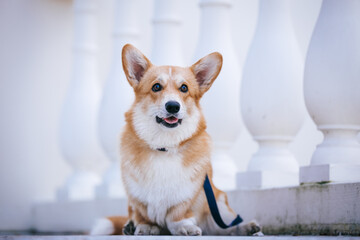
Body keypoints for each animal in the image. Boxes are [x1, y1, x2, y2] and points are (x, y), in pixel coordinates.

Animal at [90, 44, 262, 235]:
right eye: (156, 87)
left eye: (184, 88)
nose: (173, 106)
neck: (164, 145)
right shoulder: (136, 196)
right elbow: (142, 214)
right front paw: (145, 226)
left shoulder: (188, 195)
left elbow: (178, 215)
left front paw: (184, 227)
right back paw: (129, 226)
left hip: (219, 201)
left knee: (225, 226)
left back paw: (248, 228)